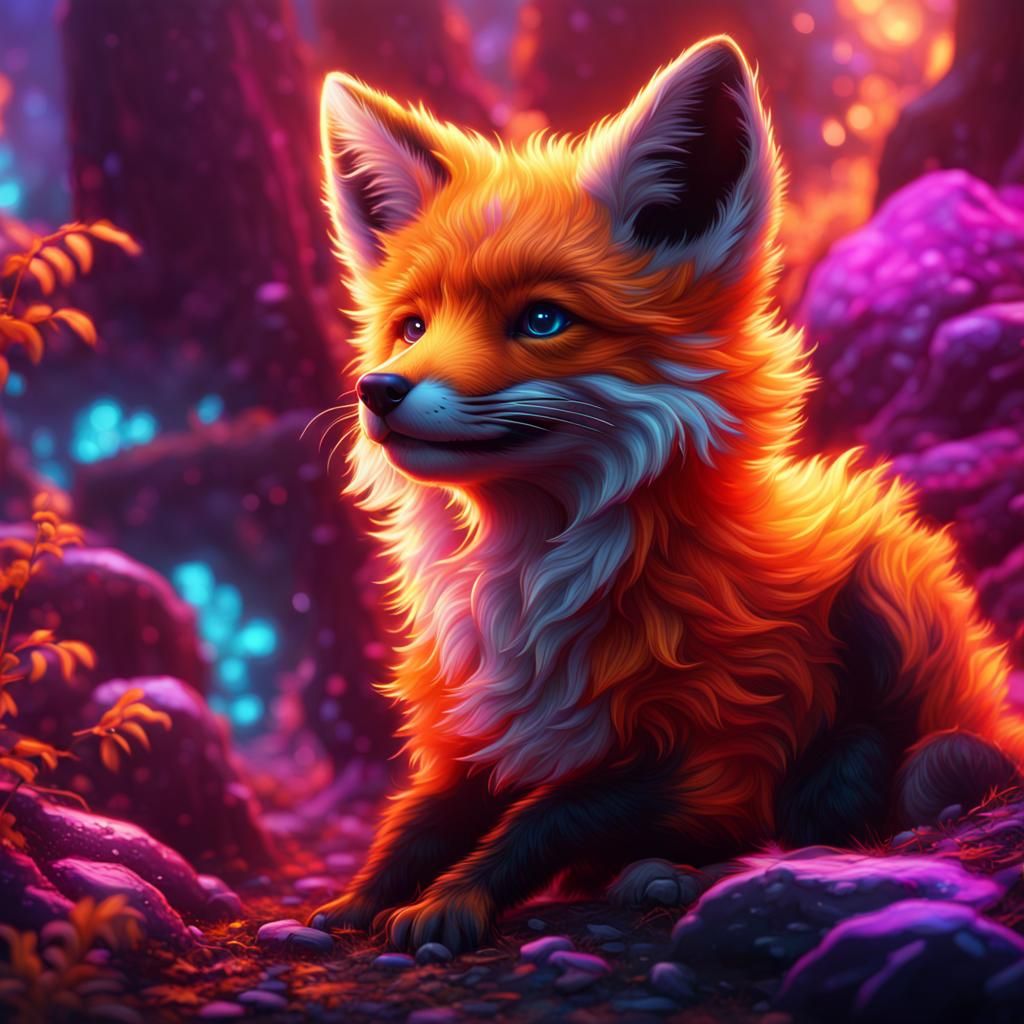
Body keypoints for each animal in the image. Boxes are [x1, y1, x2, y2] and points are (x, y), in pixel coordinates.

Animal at [309, 36, 1024, 953]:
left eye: (542, 321)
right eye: (412, 325)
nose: (380, 390)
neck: (534, 597)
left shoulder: (722, 755)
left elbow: (552, 815)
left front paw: (453, 900)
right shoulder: (480, 734)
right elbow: (421, 819)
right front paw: (358, 900)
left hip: (890, 587)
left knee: (856, 796)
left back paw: (694, 871)